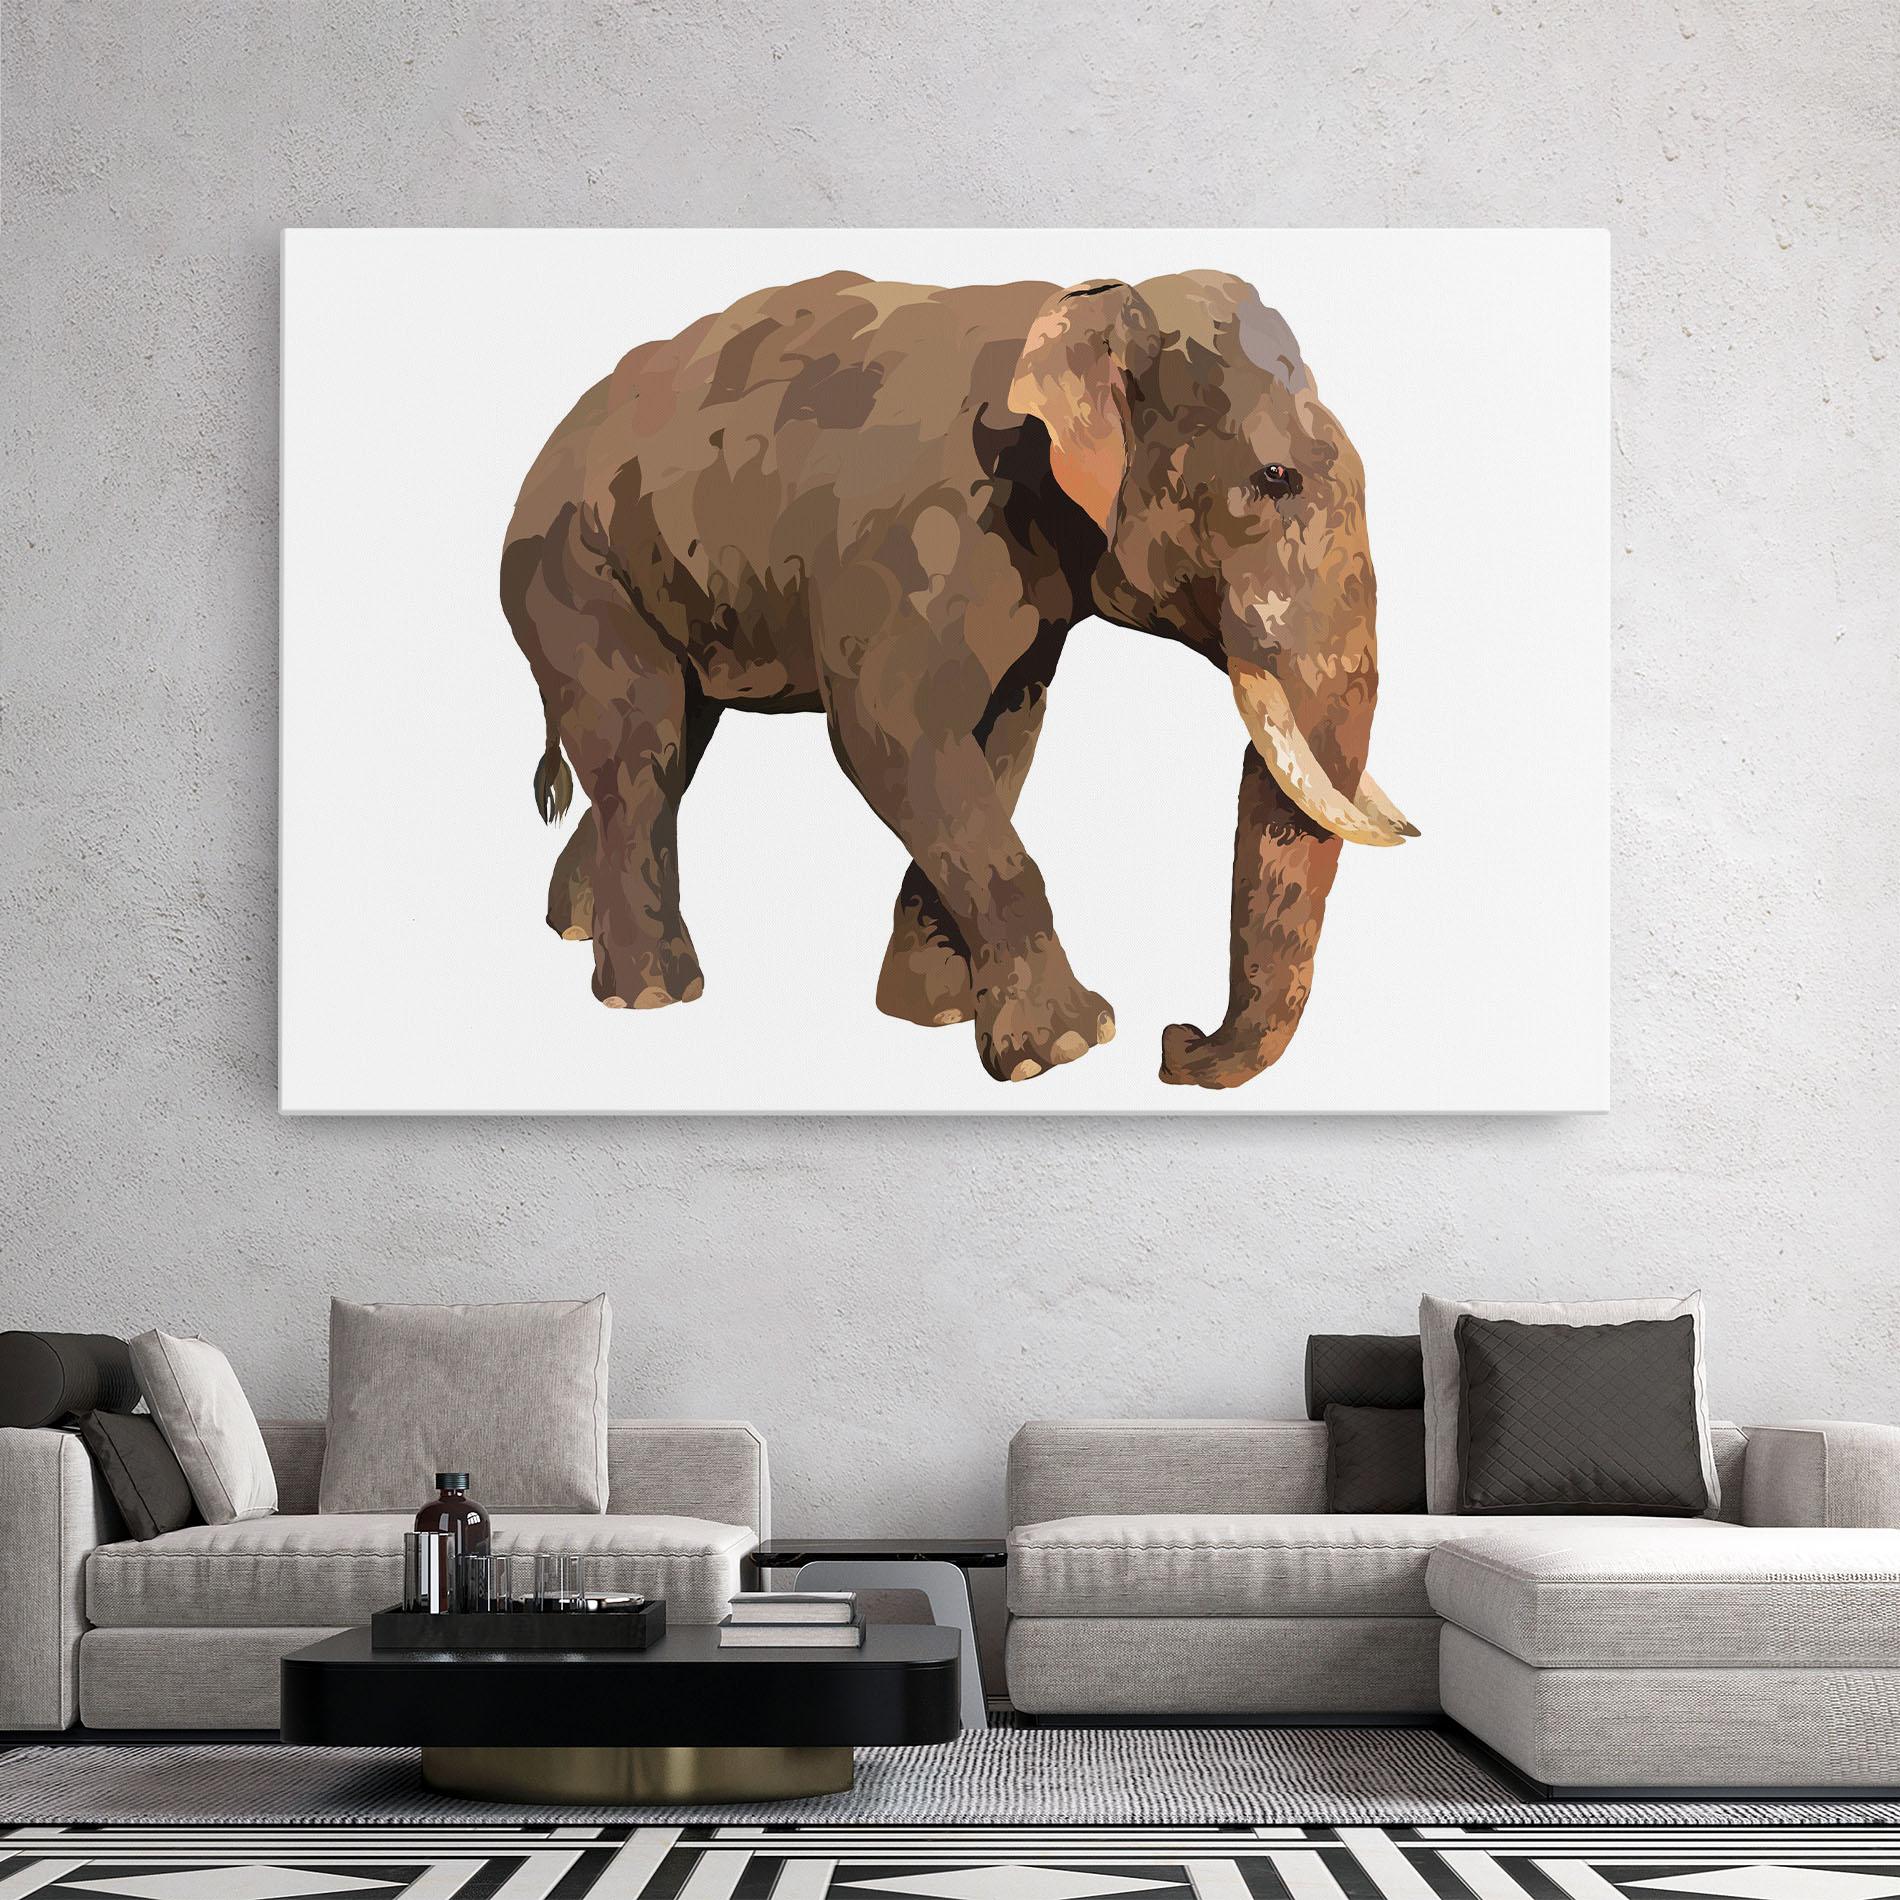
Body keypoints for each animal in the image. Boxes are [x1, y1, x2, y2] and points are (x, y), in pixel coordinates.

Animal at [500, 269, 1415, 1089]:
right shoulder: (920, 544)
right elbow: (890, 737)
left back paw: (572, 932)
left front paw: (933, 1016)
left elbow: (1004, 738)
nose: (1175, 1043)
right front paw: (1069, 1049)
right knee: (642, 749)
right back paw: (654, 996)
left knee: (667, 747)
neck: (1079, 306)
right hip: (573, 572)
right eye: (1275, 479)